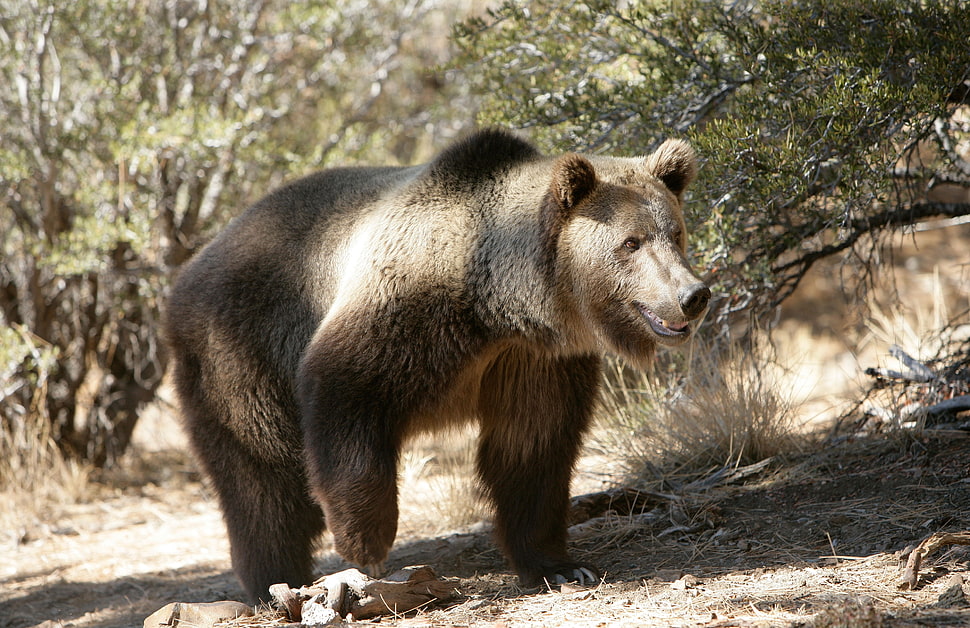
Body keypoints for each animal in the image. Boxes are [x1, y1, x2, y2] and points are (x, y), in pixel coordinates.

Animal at [164, 128, 710, 602]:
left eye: (676, 233)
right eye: (631, 242)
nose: (692, 295)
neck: (498, 304)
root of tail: (188, 271)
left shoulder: (533, 360)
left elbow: (532, 448)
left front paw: (561, 565)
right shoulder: (407, 310)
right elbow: (344, 394)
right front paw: (366, 543)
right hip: (239, 352)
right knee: (261, 477)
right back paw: (275, 580)